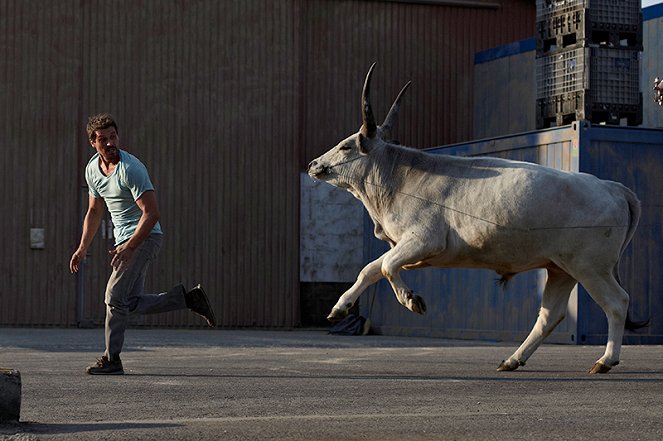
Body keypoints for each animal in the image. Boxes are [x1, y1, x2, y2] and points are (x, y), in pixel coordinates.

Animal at [310, 62, 648, 372]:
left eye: (345, 146)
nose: (314, 164)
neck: (400, 176)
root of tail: (612, 187)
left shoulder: (422, 241)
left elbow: (386, 267)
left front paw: (411, 300)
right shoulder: (407, 246)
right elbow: (370, 270)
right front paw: (340, 307)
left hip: (590, 267)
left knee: (617, 303)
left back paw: (605, 360)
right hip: (561, 268)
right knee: (549, 316)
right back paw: (513, 359)